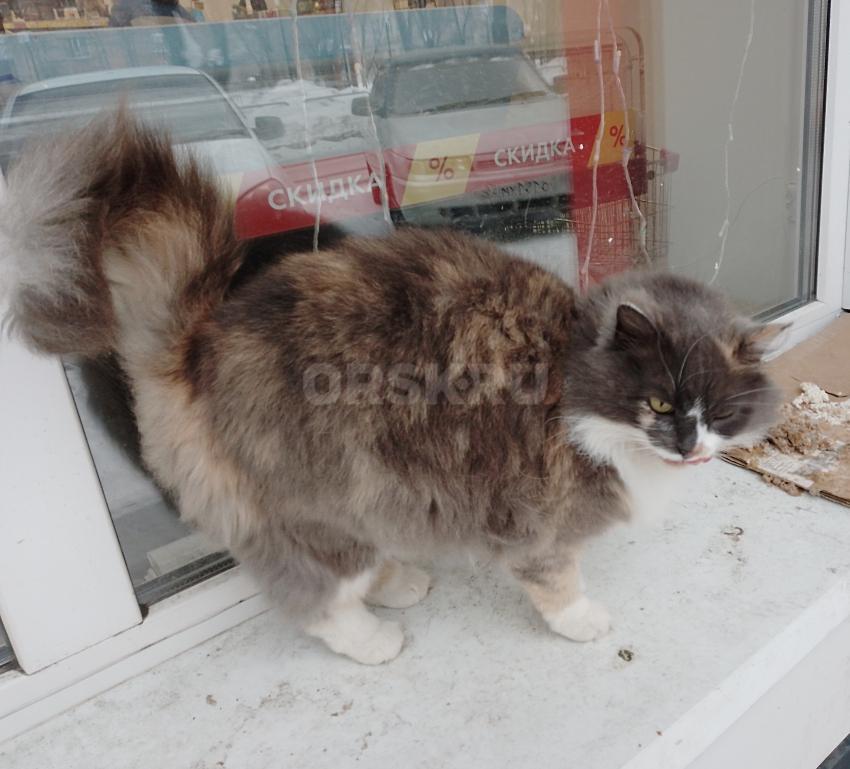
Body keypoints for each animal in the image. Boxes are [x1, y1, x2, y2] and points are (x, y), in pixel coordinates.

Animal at [0, 112, 783, 664]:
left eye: (718, 410)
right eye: (658, 402)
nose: (688, 445)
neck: (568, 378)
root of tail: (200, 338)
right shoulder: (535, 518)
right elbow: (556, 581)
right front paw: (582, 621)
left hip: (367, 492)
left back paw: (403, 582)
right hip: (315, 507)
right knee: (319, 600)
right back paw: (375, 640)